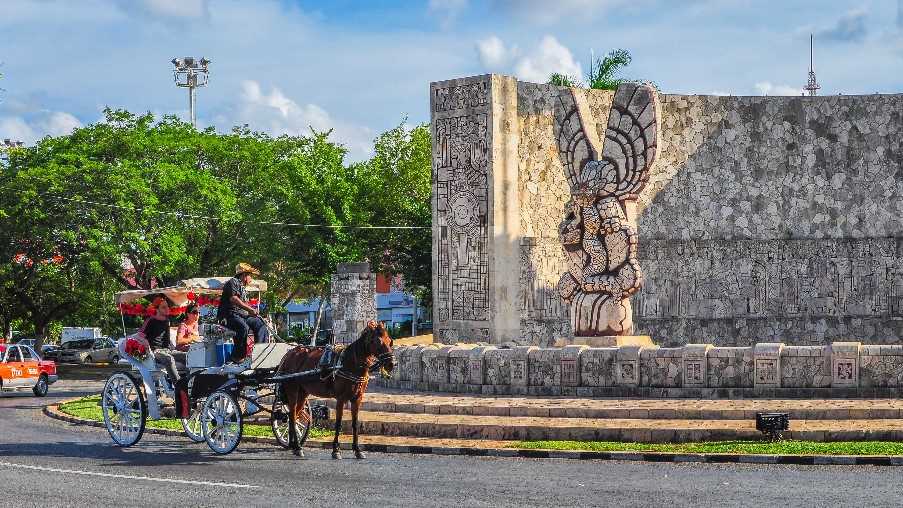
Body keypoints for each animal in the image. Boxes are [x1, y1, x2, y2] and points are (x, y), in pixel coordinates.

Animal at [278, 322, 394, 460]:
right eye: (377, 341)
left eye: (390, 341)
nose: (392, 363)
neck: (349, 363)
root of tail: (289, 354)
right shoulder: (341, 398)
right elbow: (338, 424)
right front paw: (335, 450)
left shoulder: (357, 398)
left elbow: (355, 424)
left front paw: (357, 450)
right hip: (292, 390)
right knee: (291, 416)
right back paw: (297, 446)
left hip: (302, 393)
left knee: (294, 415)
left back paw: (294, 446)